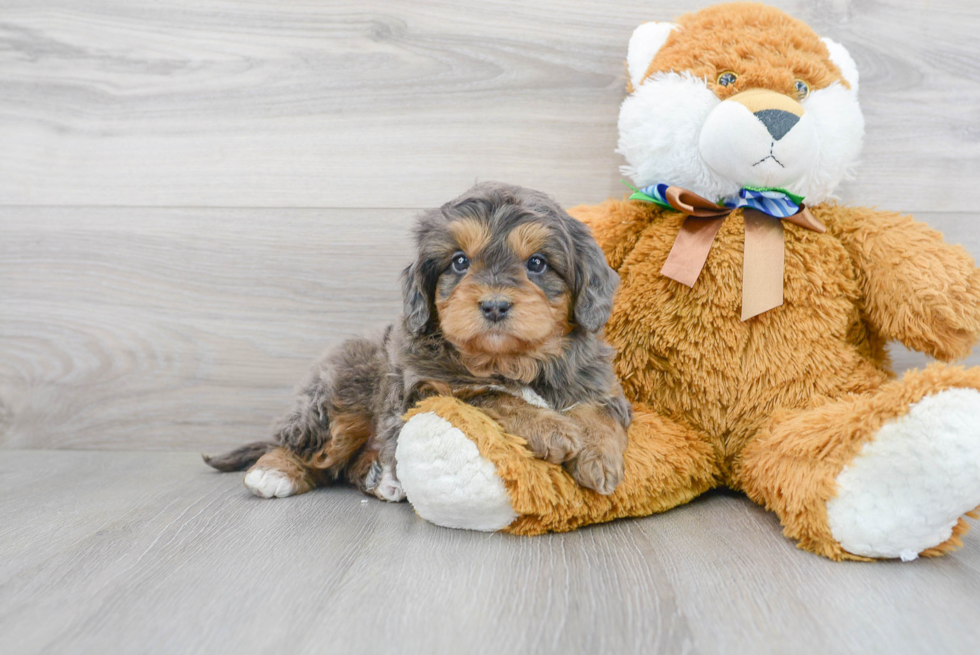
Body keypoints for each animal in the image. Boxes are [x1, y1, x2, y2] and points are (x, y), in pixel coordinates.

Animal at [208, 183, 636, 502]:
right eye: (460, 262)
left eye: (537, 264)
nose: (494, 305)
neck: (508, 361)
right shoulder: (425, 390)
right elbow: (490, 396)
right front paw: (552, 429)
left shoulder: (599, 384)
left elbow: (599, 413)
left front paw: (598, 458)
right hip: (342, 394)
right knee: (308, 444)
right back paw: (274, 470)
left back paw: (378, 477)